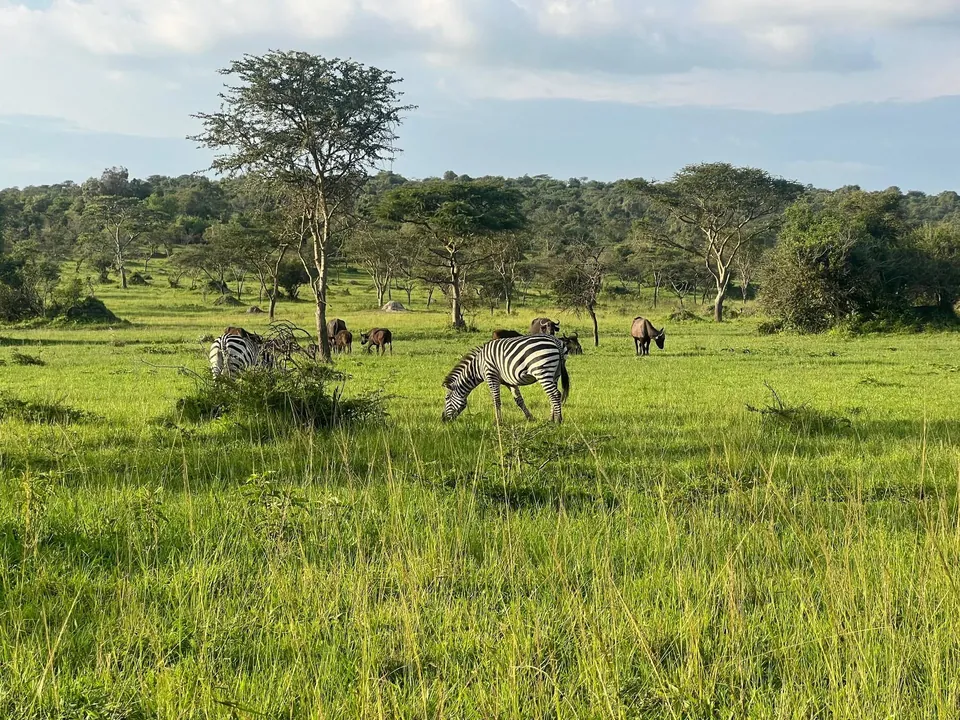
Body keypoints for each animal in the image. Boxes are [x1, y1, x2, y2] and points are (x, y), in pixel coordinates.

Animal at [442, 335, 570, 424]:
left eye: (446, 398)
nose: (443, 419)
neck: (478, 365)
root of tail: (555, 340)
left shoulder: (491, 375)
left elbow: (496, 399)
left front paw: (498, 421)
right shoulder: (509, 382)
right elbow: (519, 400)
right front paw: (530, 418)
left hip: (542, 370)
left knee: (554, 394)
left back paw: (558, 420)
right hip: (555, 374)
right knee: (554, 394)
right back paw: (550, 419)